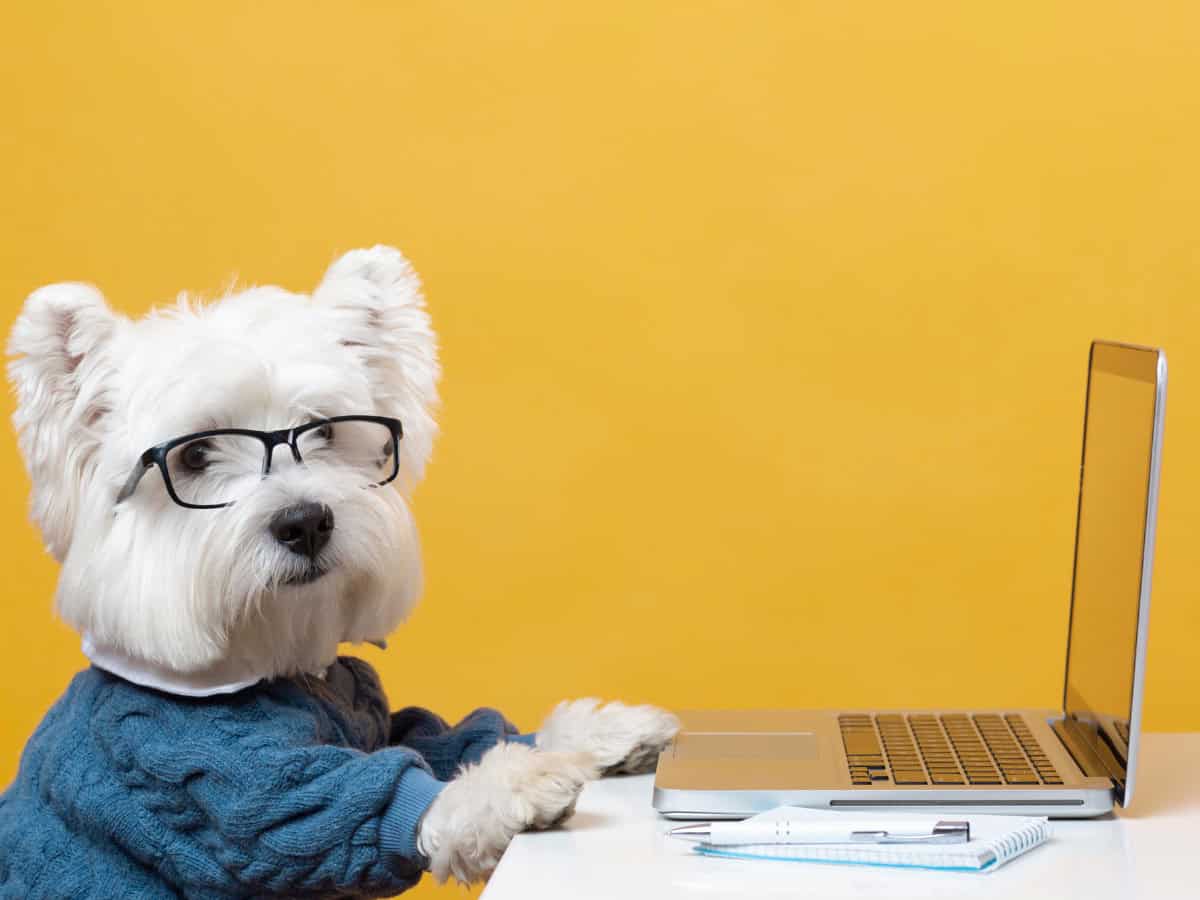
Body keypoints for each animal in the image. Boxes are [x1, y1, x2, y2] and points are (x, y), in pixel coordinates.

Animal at [0, 244, 676, 897]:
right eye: (194, 455)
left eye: (324, 429)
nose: (304, 522)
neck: (275, 663)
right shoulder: (210, 777)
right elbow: (348, 807)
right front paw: (515, 784)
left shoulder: (374, 718)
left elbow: (443, 736)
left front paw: (600, 734)